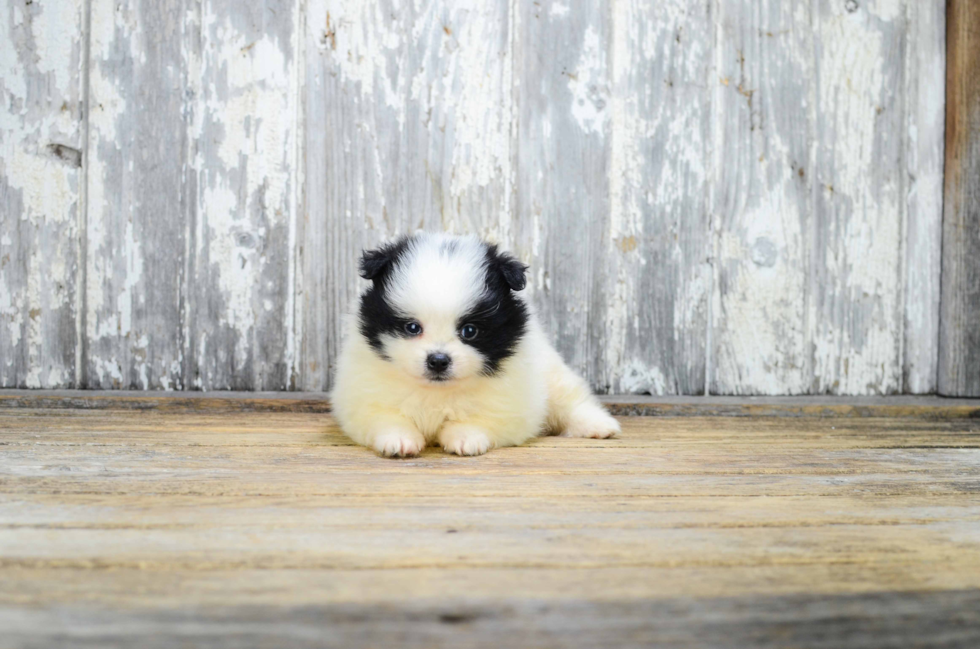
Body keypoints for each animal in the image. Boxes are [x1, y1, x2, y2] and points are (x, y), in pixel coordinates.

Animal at [332, 233, 620, 456]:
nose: (438, 360)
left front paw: (464, 437)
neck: (437, 391)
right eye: (412, 328)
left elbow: (481, 419)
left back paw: (598, 425)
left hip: (551, 372)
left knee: (570, 401)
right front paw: (399, 440)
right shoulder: (364, 395)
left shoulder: (511, 403)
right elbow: (385, 417)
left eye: (469, 331)